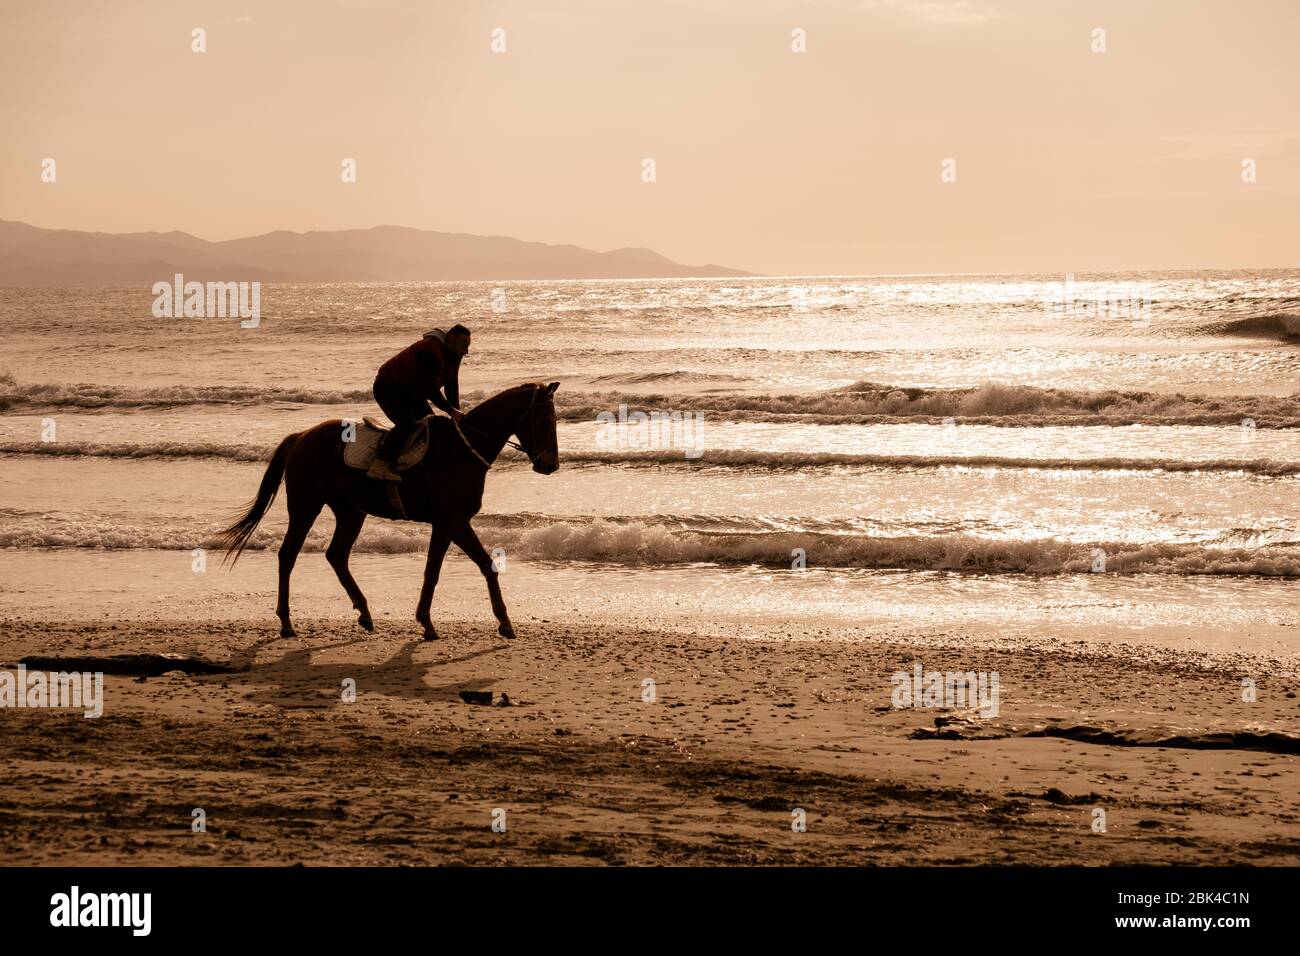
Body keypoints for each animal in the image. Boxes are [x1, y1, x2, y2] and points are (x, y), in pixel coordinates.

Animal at [217, 382, 559, 642]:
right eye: (544, 421)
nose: (550, 465)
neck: (464, 449)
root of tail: (300, 437)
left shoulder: (444, 523)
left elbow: (432, 571)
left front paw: (426, 622)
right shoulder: (455, 520)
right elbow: (486, 564)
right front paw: (505, 623)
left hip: (350, 511)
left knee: (336, 555)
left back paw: (365, 613)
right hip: (305, 505)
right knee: (288, 554)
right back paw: (287, 622)